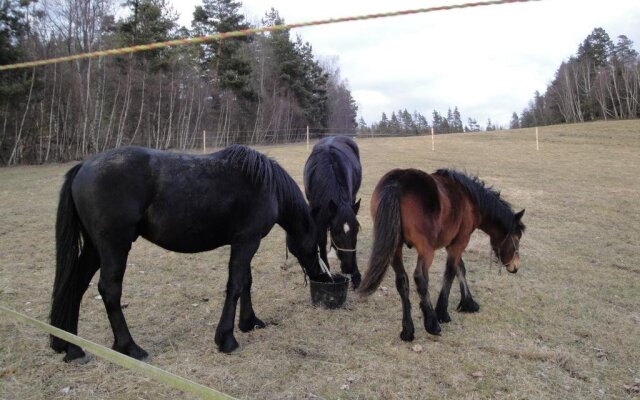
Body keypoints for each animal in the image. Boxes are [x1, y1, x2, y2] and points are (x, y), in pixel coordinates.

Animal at [50, 145, 330, 360]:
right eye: (318, 244)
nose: (324, 278)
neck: (265, 185)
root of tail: (83, 166)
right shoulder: (246, 242)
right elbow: (236, 285)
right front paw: (227, 339)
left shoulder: (245, 244)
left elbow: (246, 283)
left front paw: (249, 322)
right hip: (114, 247)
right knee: (109, 290)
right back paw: (129, 347)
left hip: (94, 248)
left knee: (75, 286)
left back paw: (71, 348)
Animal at [304, 136, 362, 290]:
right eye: (336, 232)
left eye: (357, 231)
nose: (348, 268)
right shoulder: (318, 216)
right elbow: (321, 240)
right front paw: (326, 273)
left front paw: (356, 276)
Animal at [356, 169, 524, 340]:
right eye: (517, 238)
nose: (515, 266)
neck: (471, 200)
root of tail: (397, 183)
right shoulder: (460, 242)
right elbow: (450, 272)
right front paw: (442, 312)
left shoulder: (453, 244)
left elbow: (460, 268)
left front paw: (468, 302)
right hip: (426, 250)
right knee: (420, 278)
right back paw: (432, 323)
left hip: (395, 247)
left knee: (402, 280)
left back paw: (408, 330)